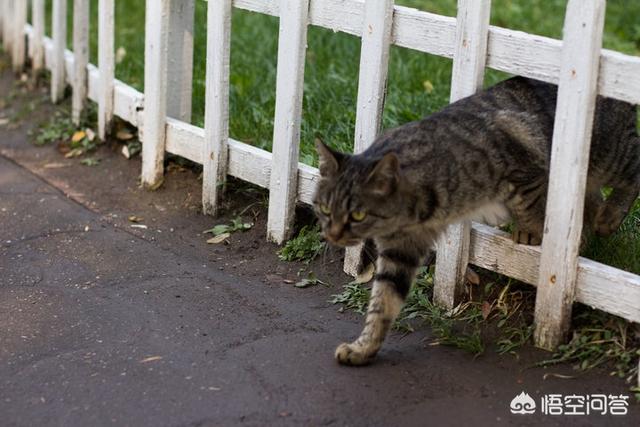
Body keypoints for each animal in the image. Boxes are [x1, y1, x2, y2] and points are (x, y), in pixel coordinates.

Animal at [312, 76, 636, 364]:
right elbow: (382, 303)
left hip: (610, 155)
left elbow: (533, 208)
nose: (332, 235)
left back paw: (607, 217)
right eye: (325, 209)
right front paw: (363, 348)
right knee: (592, 197)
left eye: (357, 214)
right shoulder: (400, 250)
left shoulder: (522, 162)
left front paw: (536, 233)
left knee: (634, 167)